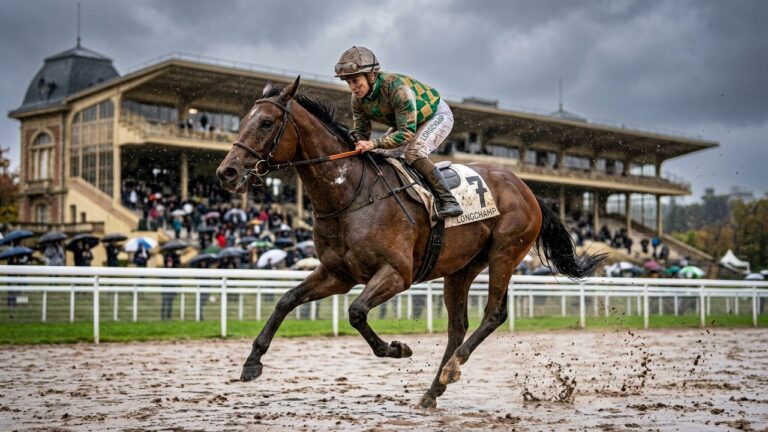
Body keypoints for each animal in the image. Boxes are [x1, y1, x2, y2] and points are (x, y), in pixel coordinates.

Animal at [216, 76, 604, 408]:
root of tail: (528, 189)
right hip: (461, 268)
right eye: (242, 120)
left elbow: (356, 312)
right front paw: (252, 362)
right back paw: (434, 390)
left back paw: (451, 369)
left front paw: (398, 348)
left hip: (505, 253)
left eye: (266, 123)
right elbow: (286, 300)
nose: (227, 172)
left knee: (493, 314)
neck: (349, 194)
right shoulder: (337, 274)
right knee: (457, 328)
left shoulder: (397, 273)